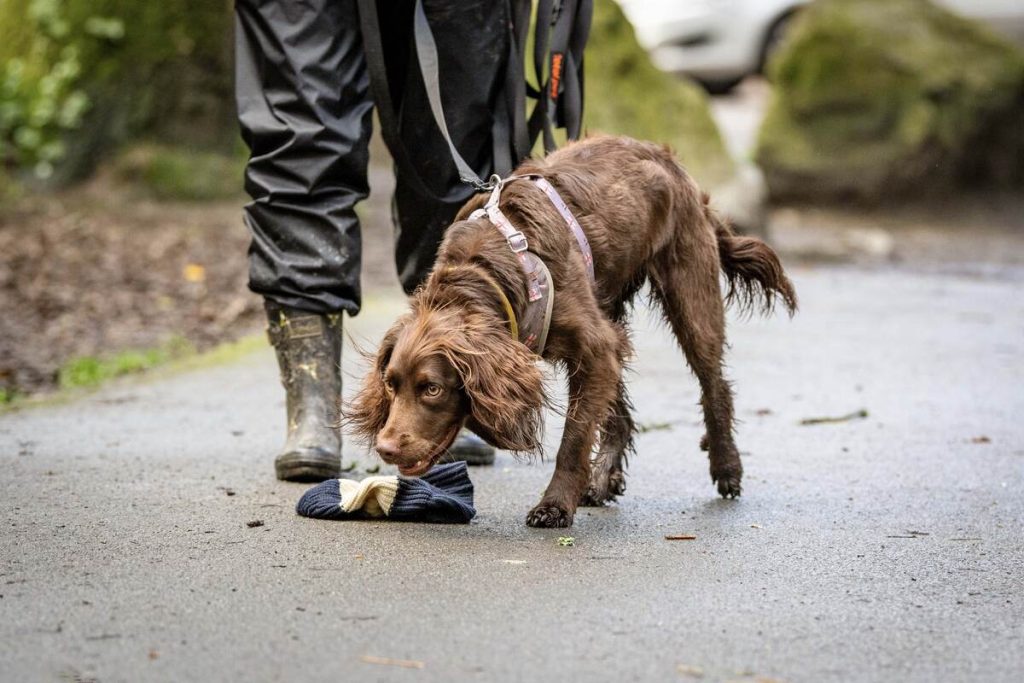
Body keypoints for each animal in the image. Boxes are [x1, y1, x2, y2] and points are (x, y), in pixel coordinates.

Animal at [348, 135, 794, 528]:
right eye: (390, 385)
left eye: (432, 389)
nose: (385, 447)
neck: (487, 272)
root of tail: (666, 156)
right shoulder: (597, 346)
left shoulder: (593, 345)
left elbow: (575, 437)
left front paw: (555, 506)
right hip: (611, 312)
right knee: (620, 410)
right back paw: (603, 479)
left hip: (689, 294)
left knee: (714, 384)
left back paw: (727, 466)